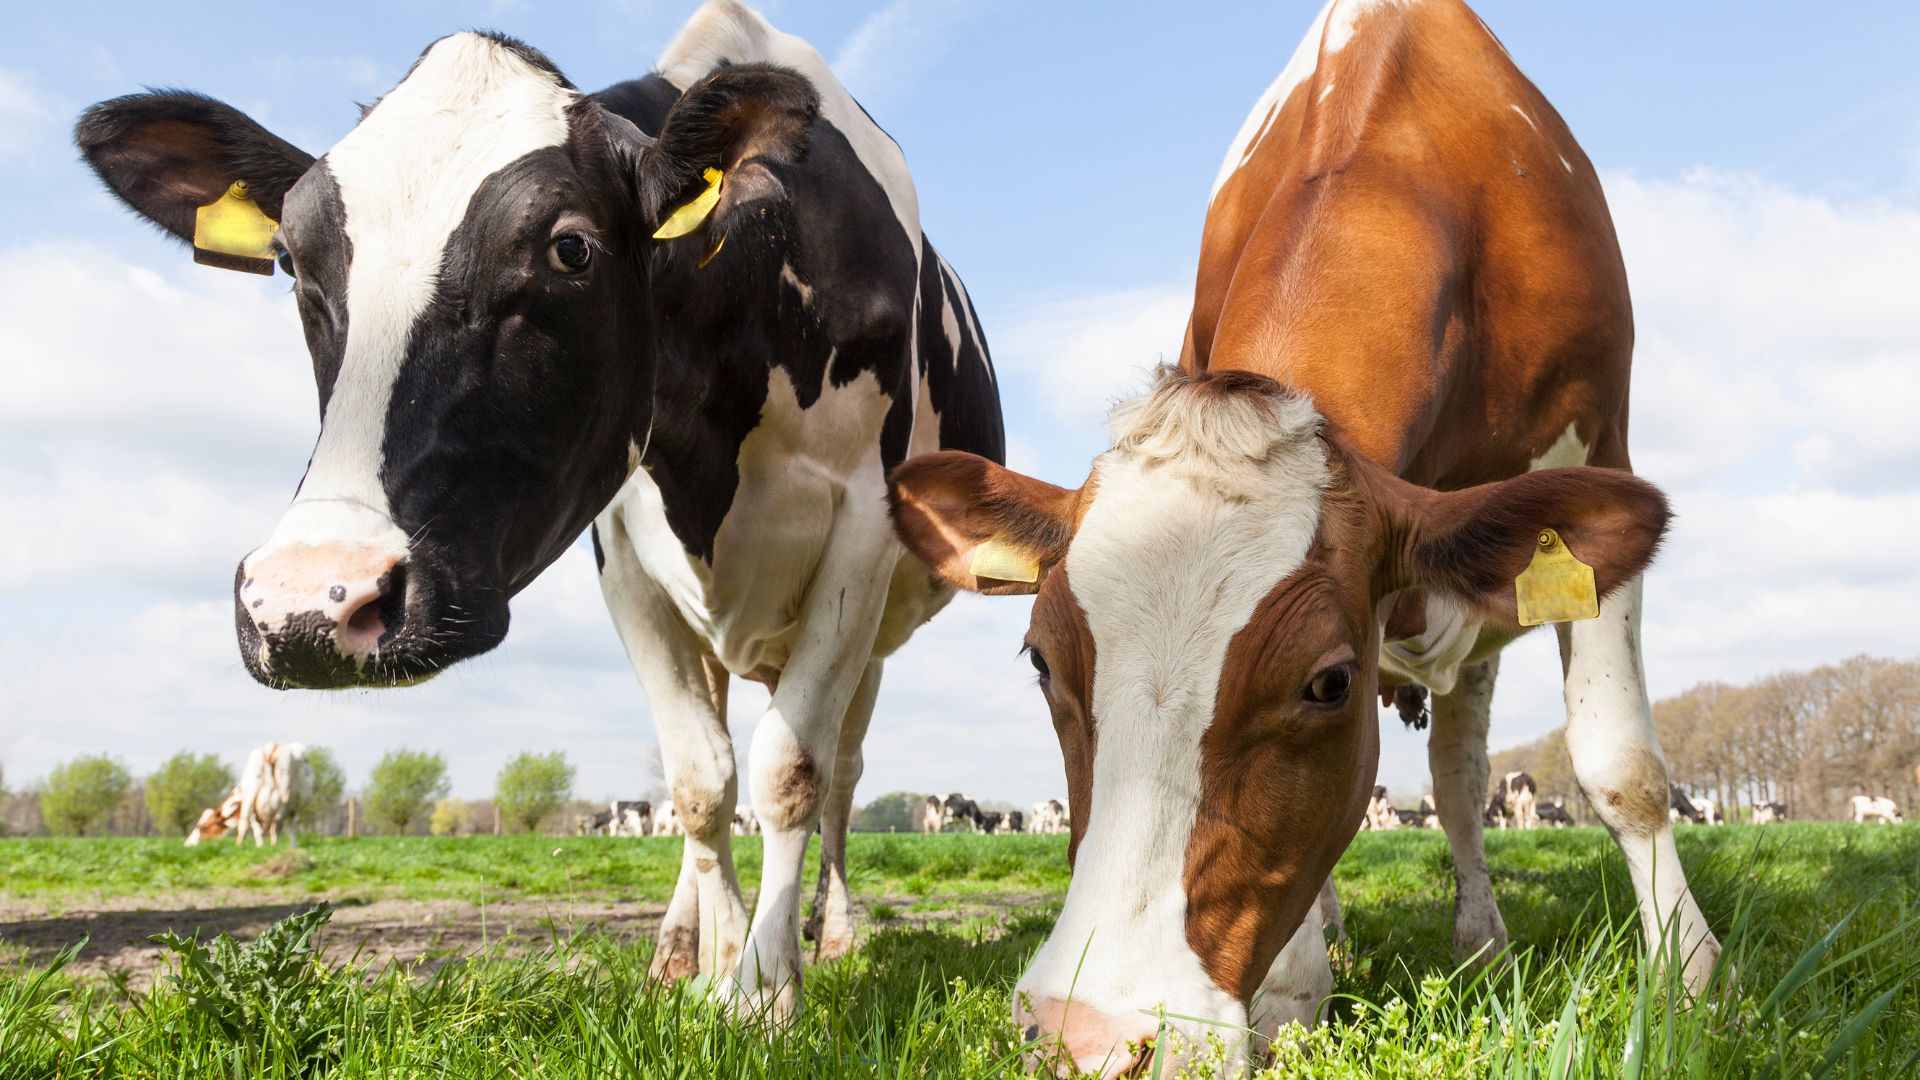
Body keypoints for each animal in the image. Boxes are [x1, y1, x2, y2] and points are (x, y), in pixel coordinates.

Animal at [76, 1, 1001, 1020]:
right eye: (288, 260)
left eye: (570, 247)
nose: (308, 605)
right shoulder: (626, 557)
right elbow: (700, 782)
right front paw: (716, 969)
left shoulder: (859, 536)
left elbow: (793, 772)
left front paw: (762, 994)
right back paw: (679, 947)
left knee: (841, 775)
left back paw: (828, 935)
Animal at [886, 0, 1716, 1070]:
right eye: (1040, 660)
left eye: (1327, 683)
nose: (1090, 1037)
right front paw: (1289, 992)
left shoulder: (1600, 440)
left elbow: (1621, 766)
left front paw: (1691, 982)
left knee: (1458, 775)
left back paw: (1480, 941)